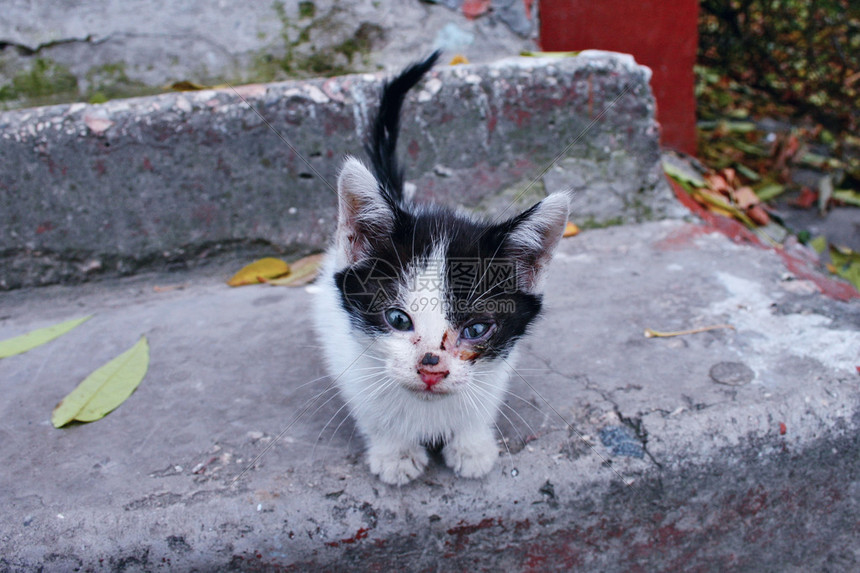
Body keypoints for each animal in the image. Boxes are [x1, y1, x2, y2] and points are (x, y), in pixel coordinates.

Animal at [312, 51, 568, 484]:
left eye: (477, 329)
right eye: (398, 319)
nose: (431, 368)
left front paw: (472, 445)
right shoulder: (344, 352)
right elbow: (371, 412)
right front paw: (395, 452)